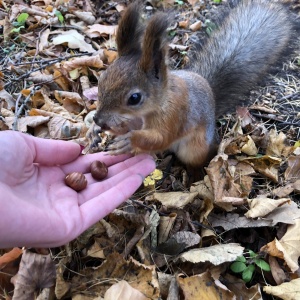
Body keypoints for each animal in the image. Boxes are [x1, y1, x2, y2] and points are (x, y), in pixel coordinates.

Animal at [88, 0, 296, 168]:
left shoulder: (175, 116)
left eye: (134, 98)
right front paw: (96, 131)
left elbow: (161, 138)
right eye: (102, 79)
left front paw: (130, 140)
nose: (98, 120)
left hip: (195, 149)